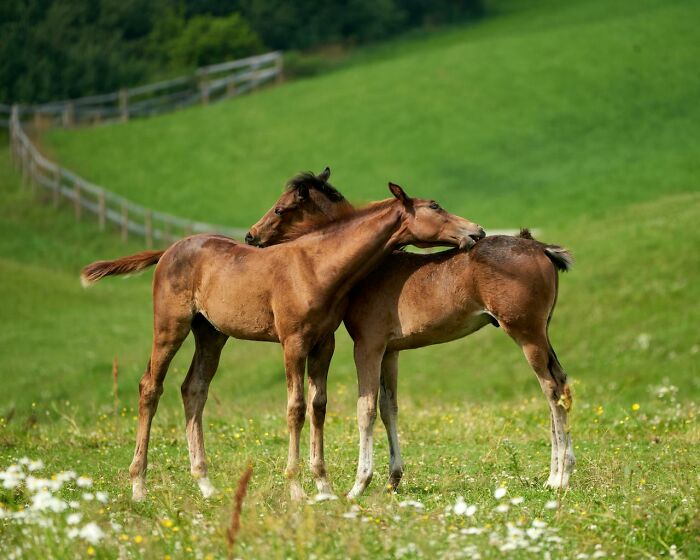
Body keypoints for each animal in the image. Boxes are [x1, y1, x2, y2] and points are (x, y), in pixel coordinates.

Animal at [81, 181, 484, 501]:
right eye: (435, 207)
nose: (476, 232)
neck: (317, 267)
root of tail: (167, 251)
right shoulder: (293, 342)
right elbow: (296, 408)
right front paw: (295, 487)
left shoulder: (324, 344)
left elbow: (319, 406)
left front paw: (324, 487)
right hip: (170, 327)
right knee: (151, 386)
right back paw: (138, 486)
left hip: (211, 334)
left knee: (193, 389)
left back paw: (206, 485)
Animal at [246, 168, 575, 498]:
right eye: (435, 206)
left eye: (279, 209)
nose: (251, 235)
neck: (369, 269)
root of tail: (541, 248)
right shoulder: (390, 350)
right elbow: (388, 407)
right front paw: (393, 479)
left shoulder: (367, 345)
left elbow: (365, 408)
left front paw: (359, 484)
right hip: (542, 333)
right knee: (560, 381)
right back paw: (560, 471)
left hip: (526, 334)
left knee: (550, 388)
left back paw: (558, 477)